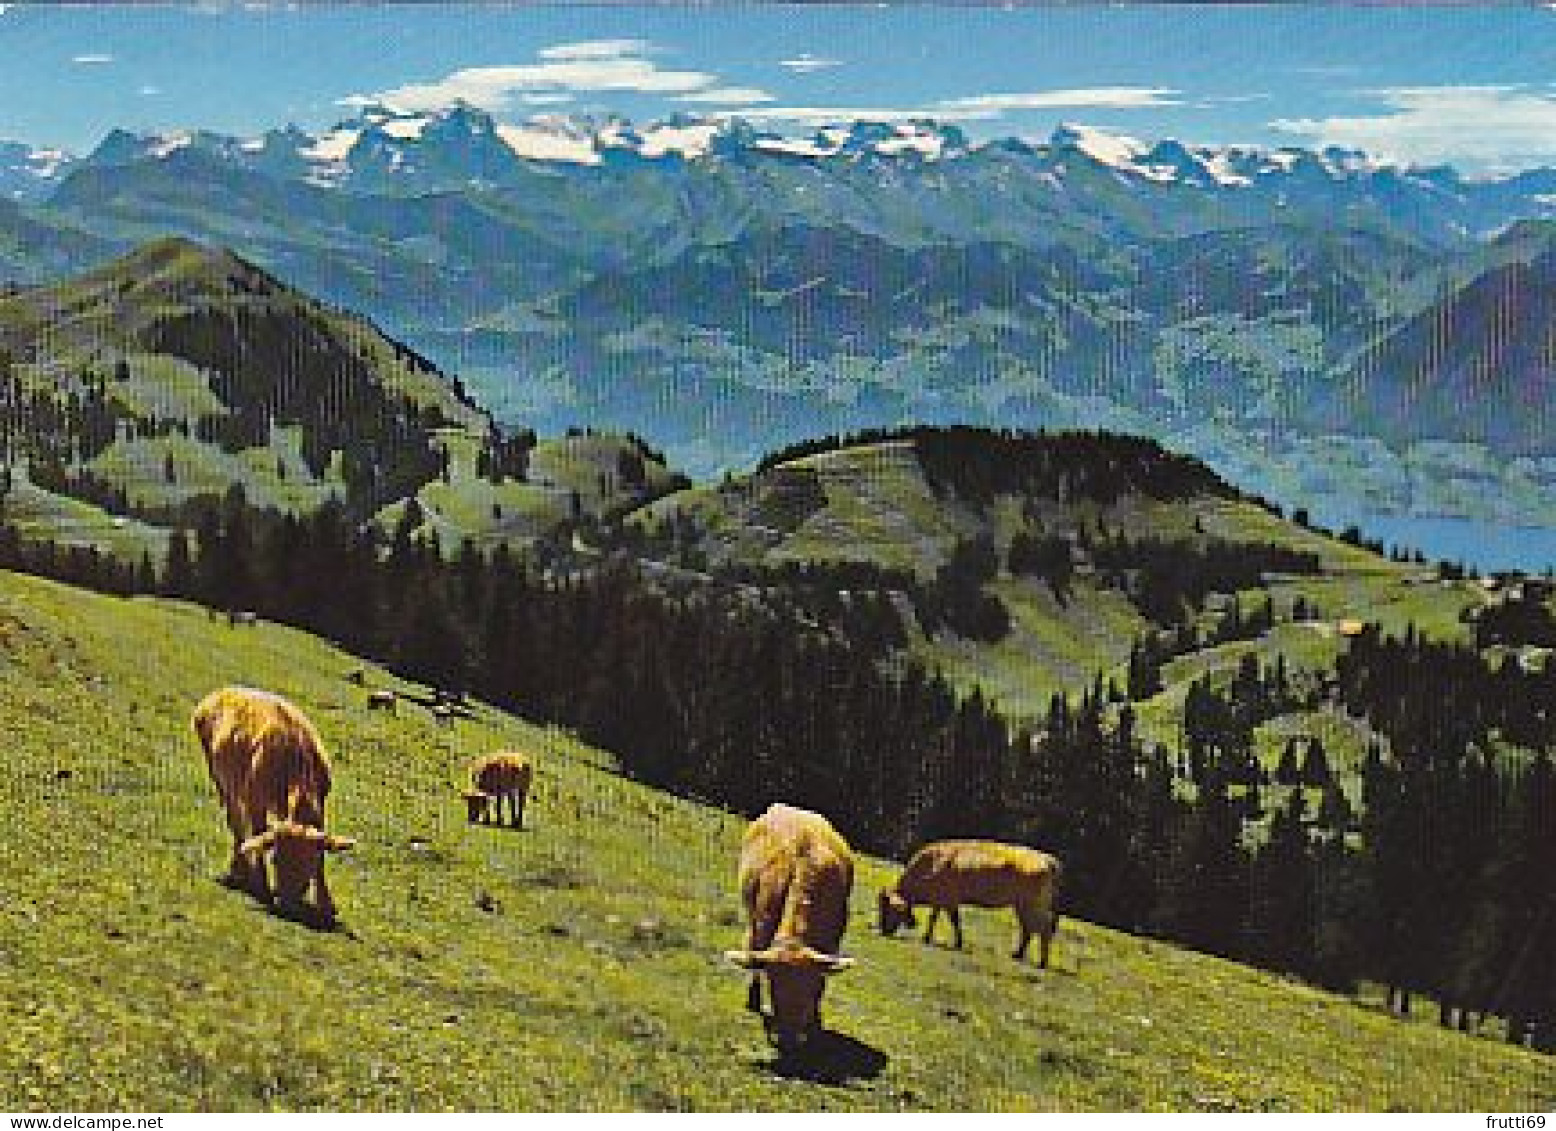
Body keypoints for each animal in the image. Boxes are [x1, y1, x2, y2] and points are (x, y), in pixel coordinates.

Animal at [192, 684, 356, 927]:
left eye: (308, 866)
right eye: (275, 860)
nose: (287, 906)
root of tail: (222, 691)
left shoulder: (321, 801)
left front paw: (327, 905)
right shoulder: (254, 799)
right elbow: (257, 834)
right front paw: (261, 884)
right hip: (219, 776)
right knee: (236, 824)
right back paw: (238, 869)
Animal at [725, 802, 858, 1051]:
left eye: (807, 988)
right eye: (773, 985)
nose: (788, 1037)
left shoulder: (831, 942)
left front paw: (814, 1022)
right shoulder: (761, 923)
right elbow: (756, 960)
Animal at [883, 840, 1064, 964]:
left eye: (888, 909)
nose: (884, 930)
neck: (932, 863)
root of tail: (1046, 858)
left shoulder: (947, 900)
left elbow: (950, 920)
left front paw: (939, 940)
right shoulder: (943, 901)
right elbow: (939, 918)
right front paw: (942, 940)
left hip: (1030, 906)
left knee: (1043, 929)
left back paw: (1041, 962)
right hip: (1021, 906)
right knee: (1028, 929)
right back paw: (1018, 955)